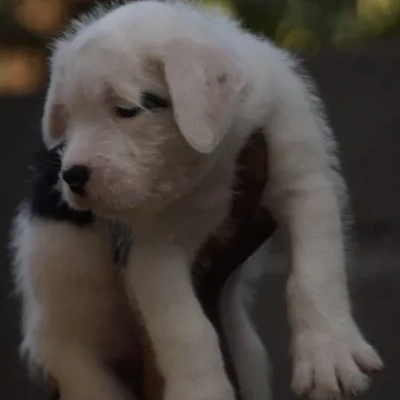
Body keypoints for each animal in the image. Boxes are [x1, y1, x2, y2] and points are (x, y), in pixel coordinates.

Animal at [10, 0, 382, 400]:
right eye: (69, 116)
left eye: (126, 110)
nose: (72, 176)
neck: (206, 164)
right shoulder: (153, 250)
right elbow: (184, 323)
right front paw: (200, 389)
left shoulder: (303, 179)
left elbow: (314, 272)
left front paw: (329, 354)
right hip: (68, 342)